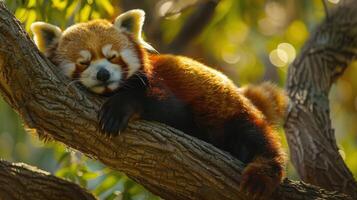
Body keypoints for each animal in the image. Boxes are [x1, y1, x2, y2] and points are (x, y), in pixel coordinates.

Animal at [30, 9, 286, 198]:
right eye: (84, 62)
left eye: (113, 57)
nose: (103, 74)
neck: (108, 92)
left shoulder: (163, 88)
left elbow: (171, 111)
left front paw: (119, 109)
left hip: (232, 113)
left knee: (256, 139)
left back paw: (260, 175)